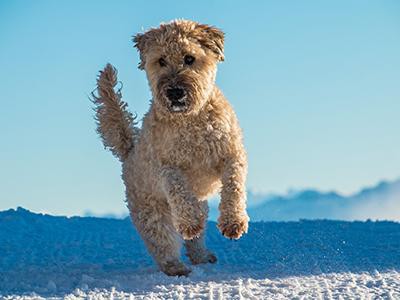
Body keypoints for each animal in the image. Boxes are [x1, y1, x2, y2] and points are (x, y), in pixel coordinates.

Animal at [93, 19, 250, 276]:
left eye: (189, 58)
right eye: (161, 60)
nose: (175, 92)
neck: (191, 120)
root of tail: (129, 150)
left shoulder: (232, 154)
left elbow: (234, 185)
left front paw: (233, 222)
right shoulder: (165, 166)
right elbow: (178, 188)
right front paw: (189, 223)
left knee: (195, 238)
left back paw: (201, 255)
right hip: (150, 211)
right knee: (163, 241)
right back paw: (177, 266)